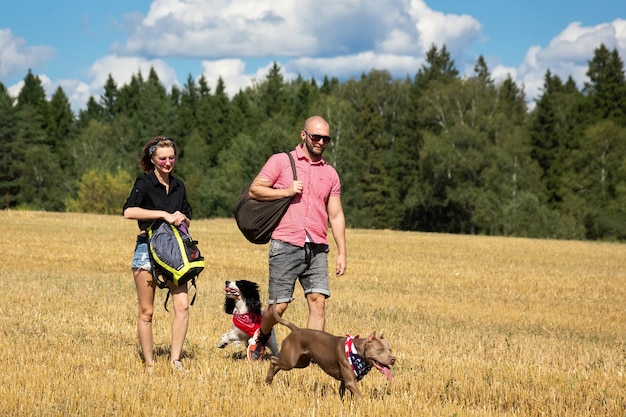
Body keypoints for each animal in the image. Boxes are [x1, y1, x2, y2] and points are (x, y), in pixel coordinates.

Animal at [264, 308, 394, 396]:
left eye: (390, 349)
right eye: (380, 350)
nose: (393, 359)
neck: (357, 351)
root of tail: (296, 330)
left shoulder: (346, 381)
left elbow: (344, 393)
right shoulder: (351, 382)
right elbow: (360, 396)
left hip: (300, 362)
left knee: (278, 364)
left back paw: (269, 380)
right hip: (290, 361)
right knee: (273, 360)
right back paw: (269, 378)